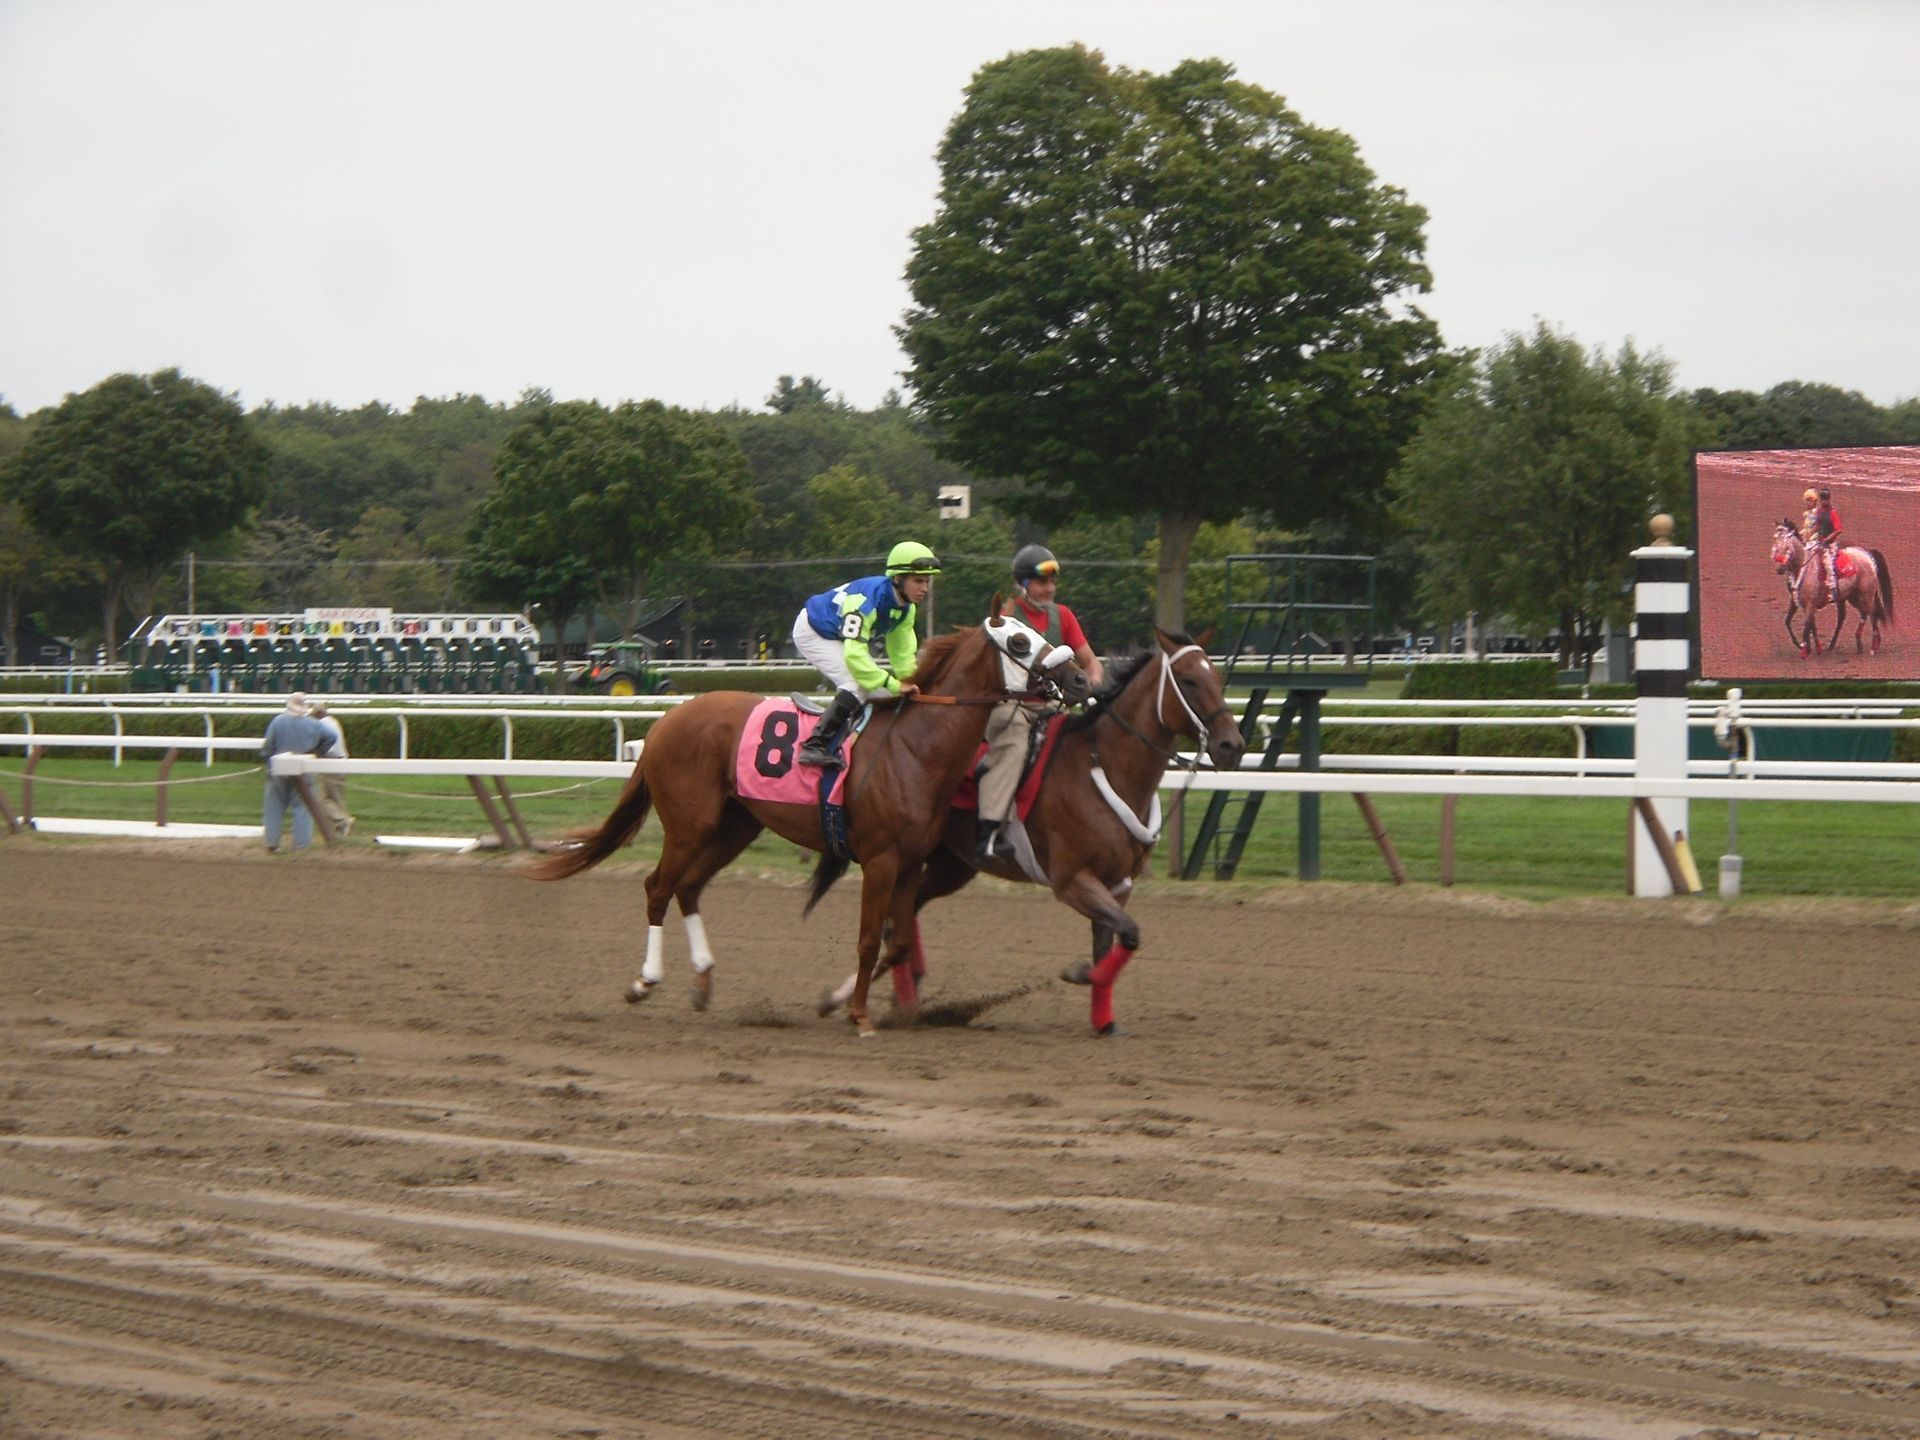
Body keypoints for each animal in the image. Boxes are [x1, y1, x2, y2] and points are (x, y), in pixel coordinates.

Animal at [533, 610, 1090, 1036]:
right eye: (1020, 641)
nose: (1081, 679)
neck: (915, 748)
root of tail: (667, 721)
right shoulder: (881, 860)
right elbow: (869, 939)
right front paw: (859, 1015)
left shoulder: (911, 862)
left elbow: (898, 941)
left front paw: (852, 1004)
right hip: (690, 825)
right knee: (658, 887)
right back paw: (644, 981)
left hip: (735, 827)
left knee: (688, 887)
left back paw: (703, 981)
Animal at [821, 629, 1244, 1036]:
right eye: (1189, 680)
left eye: (1218, 677)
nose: (1232, 745)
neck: (1102, 767)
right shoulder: (1073, 881)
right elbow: (1129, 934)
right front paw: (1079, 974)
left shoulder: (1117, 885)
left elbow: (1112, 943)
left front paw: (1104, 1020)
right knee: (894, 924)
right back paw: (851, 998)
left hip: (949, 866)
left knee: (903, 920)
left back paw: (895, 998)